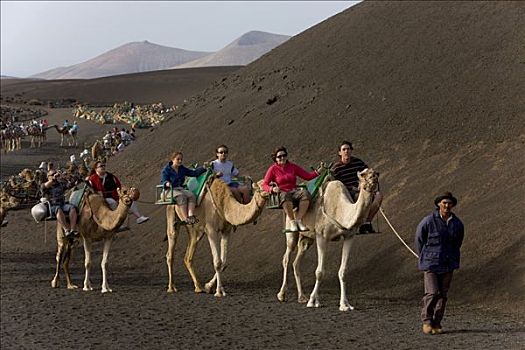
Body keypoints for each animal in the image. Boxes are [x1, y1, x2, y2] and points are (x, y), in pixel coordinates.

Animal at [276, 168, 378, 310]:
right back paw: (282, 295)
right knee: (286, 258)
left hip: (307, 238)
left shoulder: (349, 237)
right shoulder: (322, 236)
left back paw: (302, 297)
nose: (373, 178)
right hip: (291, 231)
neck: (341, 210)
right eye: (363, 174)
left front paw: (345, 305)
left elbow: (343, 271)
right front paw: (312, 301)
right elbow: (319, 272)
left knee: (296, 262)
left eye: (376, 173)